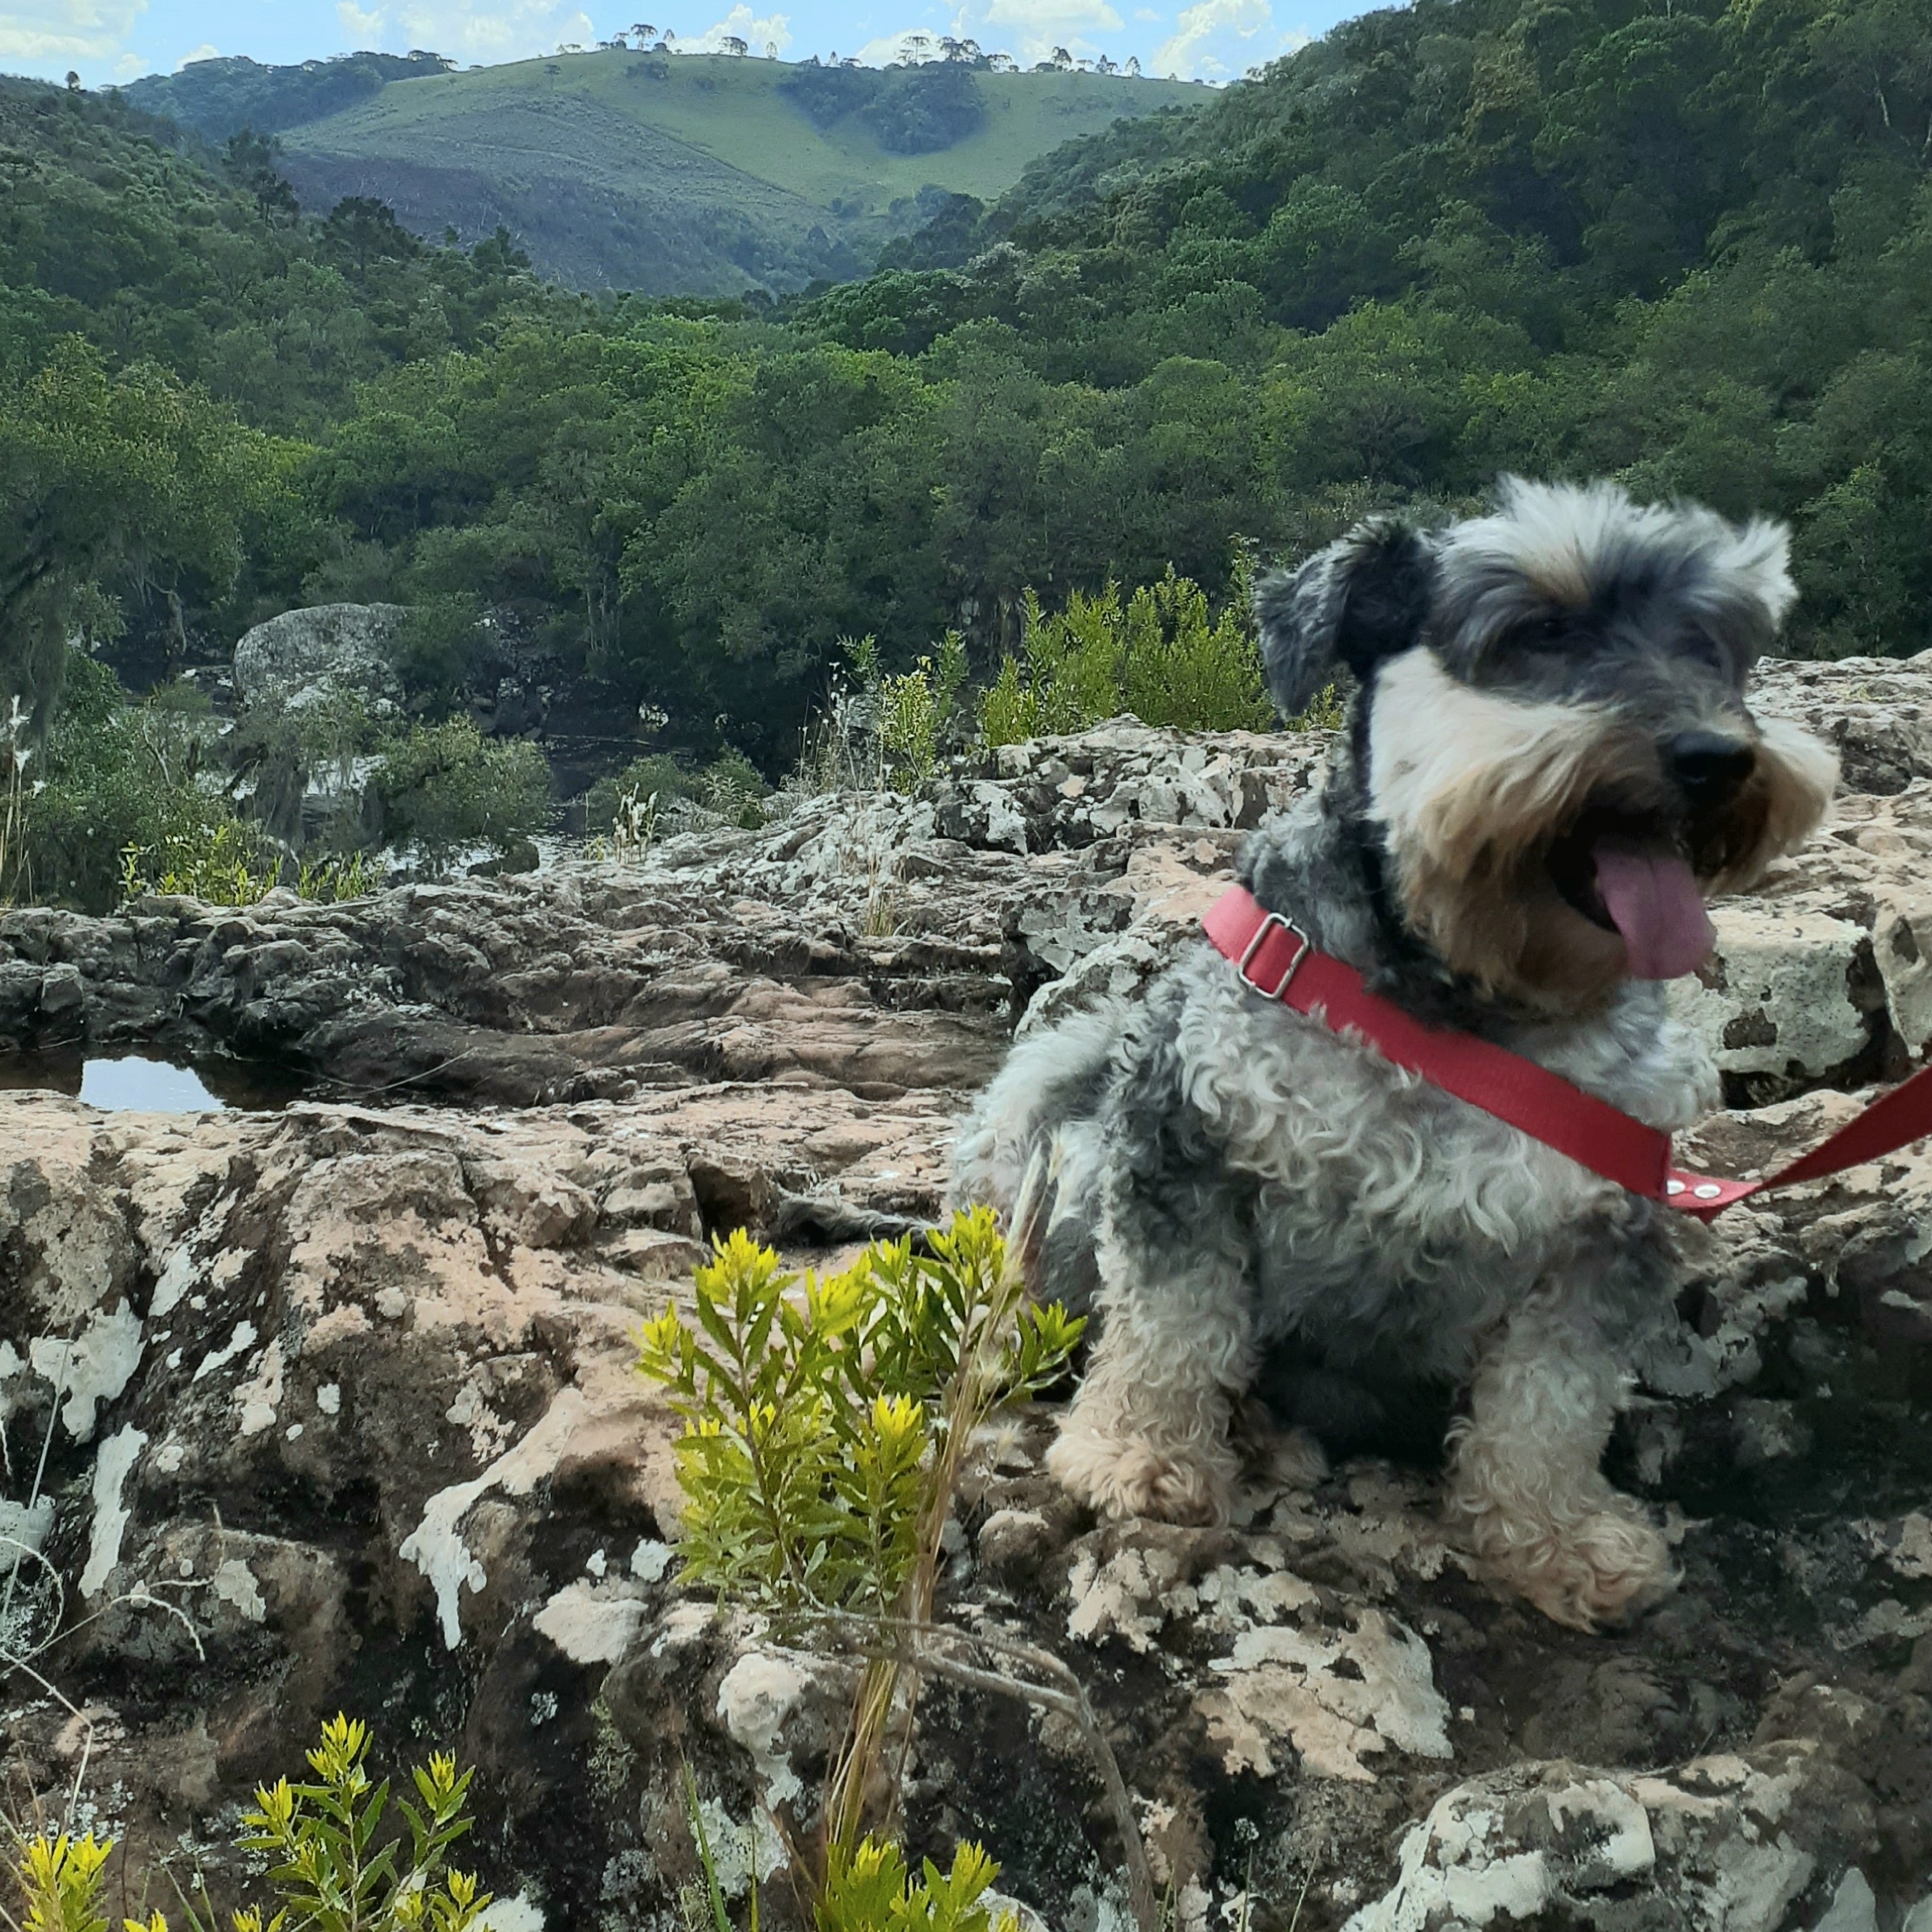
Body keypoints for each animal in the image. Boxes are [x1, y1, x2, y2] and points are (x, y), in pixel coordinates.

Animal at [958, 479, 1831, 1631]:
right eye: (1537, 630)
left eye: (1713, 643)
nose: (1712, 757)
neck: (1457, 997)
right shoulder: (1179, 1135)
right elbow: (1171, 1320)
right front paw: (1136, 1455)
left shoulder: (1603, 1223)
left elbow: (1550, 1400)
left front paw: (1554, 1537)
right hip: (1062, 1144)